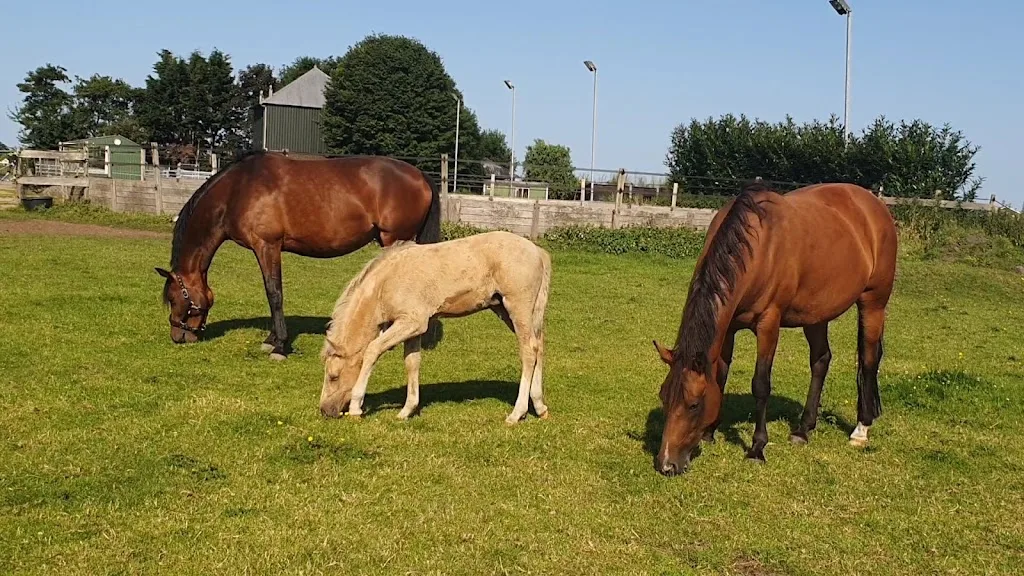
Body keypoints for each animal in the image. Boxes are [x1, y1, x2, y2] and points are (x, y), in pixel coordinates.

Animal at [154, 151, 442, 360]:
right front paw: (271, 340)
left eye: (174, 298)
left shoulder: (267, 246)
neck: (238, 190)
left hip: (395, 239)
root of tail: (420, 175)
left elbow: (274, 293)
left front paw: (280, 346)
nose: (177, 336)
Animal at [319, 230, 552, 424]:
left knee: (529, 351)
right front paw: (406, 411)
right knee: (539, 346)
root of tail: (538, 252)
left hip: (517, 307)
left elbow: (372, 350)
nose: (324, 410)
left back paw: (517, 413)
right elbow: (412, 362)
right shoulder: (412, 328)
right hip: (507, 310)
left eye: (333, 376)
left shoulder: (412, 322)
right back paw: (540, 407)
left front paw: (356, 408)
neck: (386, 283)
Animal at [652, 182, 897, 476]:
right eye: (664, 397)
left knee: (869, 361)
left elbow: (761, 384)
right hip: (816, 314)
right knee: (821, 360)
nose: (666, 464)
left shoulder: (768, 324)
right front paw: (710, 433)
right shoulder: (729, 329)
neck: (757, 248)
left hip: (873, 303)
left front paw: (757, 448)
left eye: (693, 405)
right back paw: (803, 429)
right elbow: (720, 375)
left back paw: (861, 430)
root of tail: (875, 205)